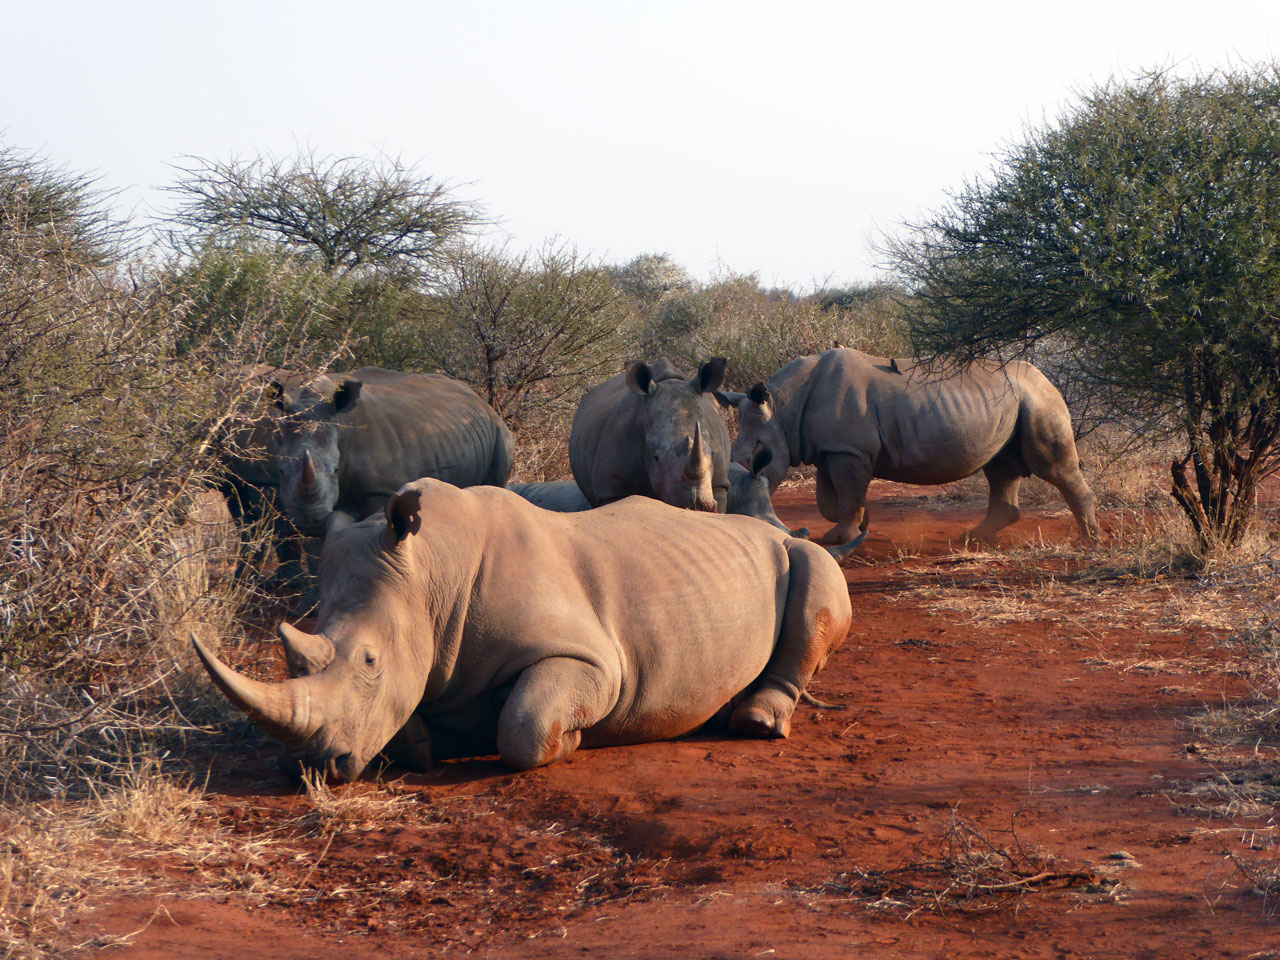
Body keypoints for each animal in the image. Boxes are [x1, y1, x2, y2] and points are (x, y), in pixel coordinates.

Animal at [192, 481, 849, 783]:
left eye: (370, 662)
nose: (309, 768)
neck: (431, 577)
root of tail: (763, 528)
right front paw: (423, 746)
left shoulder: (594, 661)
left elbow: (525, 725)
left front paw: (572, 742)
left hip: (791, 548)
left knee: (815, 573)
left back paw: (753, 721)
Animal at [273, 366, 509, 535]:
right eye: (281, 471)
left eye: (334, 470)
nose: (308, 522)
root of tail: (479, 399)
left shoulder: (381, 488)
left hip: (499, 428)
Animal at [721, 348, 1100, 545]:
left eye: (755, 459)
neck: (783, 407)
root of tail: (1047, 377)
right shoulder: (831, 449)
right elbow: (831, 499)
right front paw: (860, 524)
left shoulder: (847, 450)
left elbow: (846, 494)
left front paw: (838, 537)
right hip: (1010, 402)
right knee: (1000, 468)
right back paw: (974, 538)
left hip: (1038, 399)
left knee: (1051, 466)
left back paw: (1089, 540)